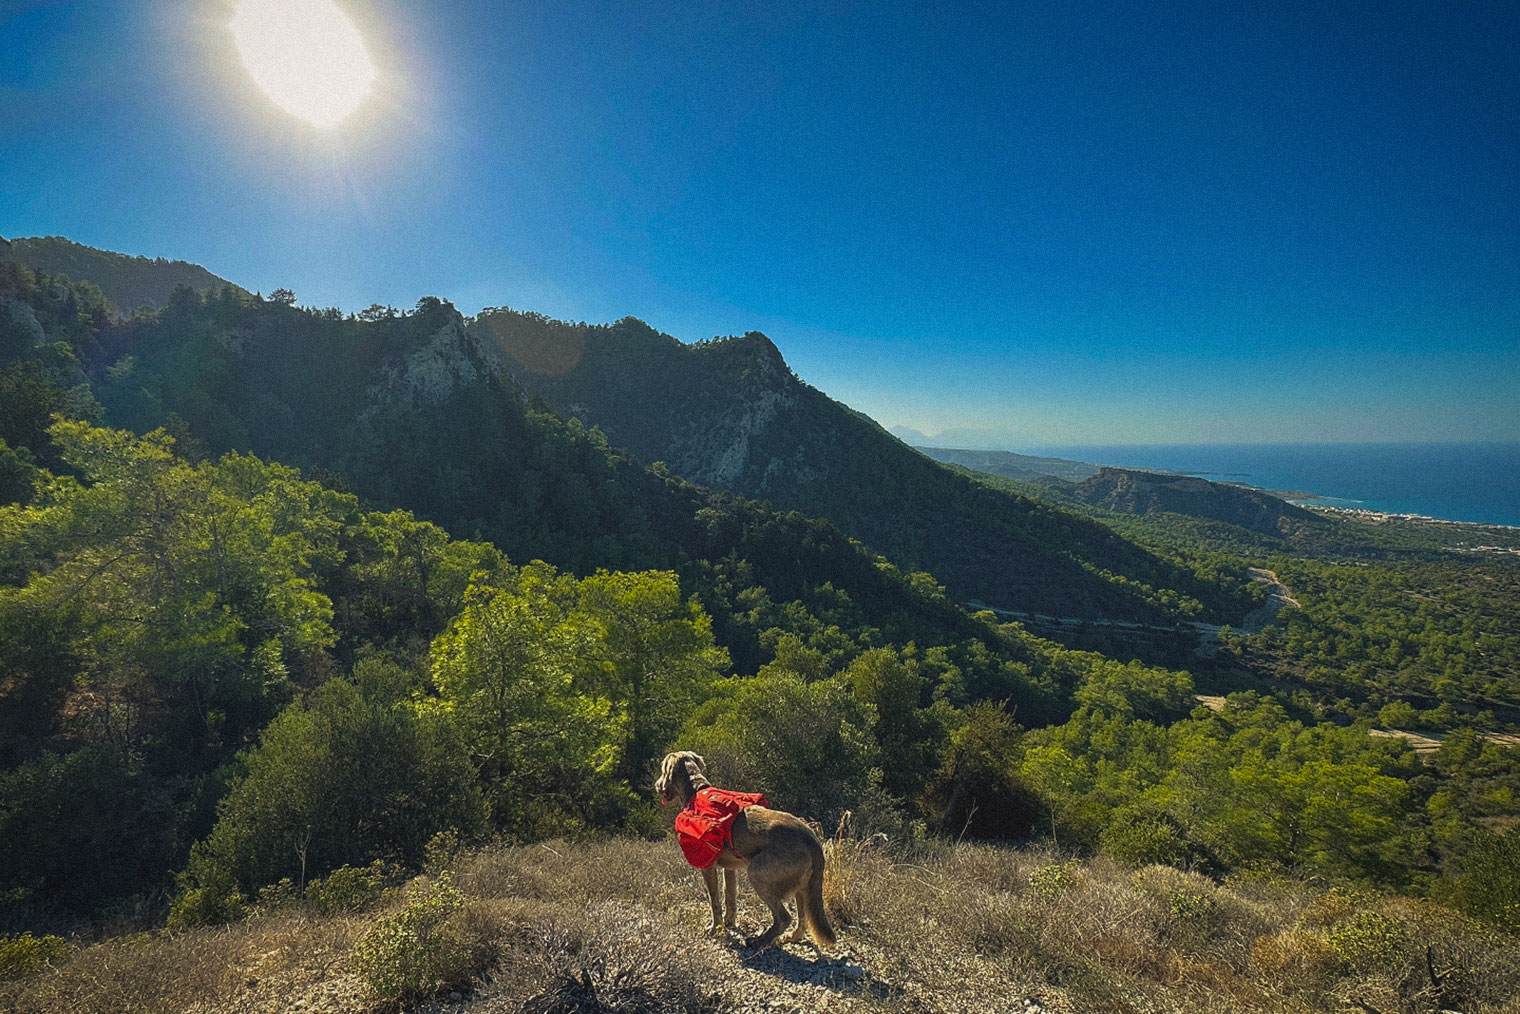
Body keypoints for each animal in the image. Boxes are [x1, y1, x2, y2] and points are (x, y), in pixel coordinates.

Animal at [656, 744, 839, 954]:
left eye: (662, 770)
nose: (656, 785)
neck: (697, 789)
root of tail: (812, 840)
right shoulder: (729, 868)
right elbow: (730, 896)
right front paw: (728, 923)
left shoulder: (708, 867)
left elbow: (714, 901)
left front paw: (715, 929)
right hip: (802, 885)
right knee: (802, 920)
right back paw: (789, 937)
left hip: (758, 872)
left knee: (784, 918)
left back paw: (759, 941)